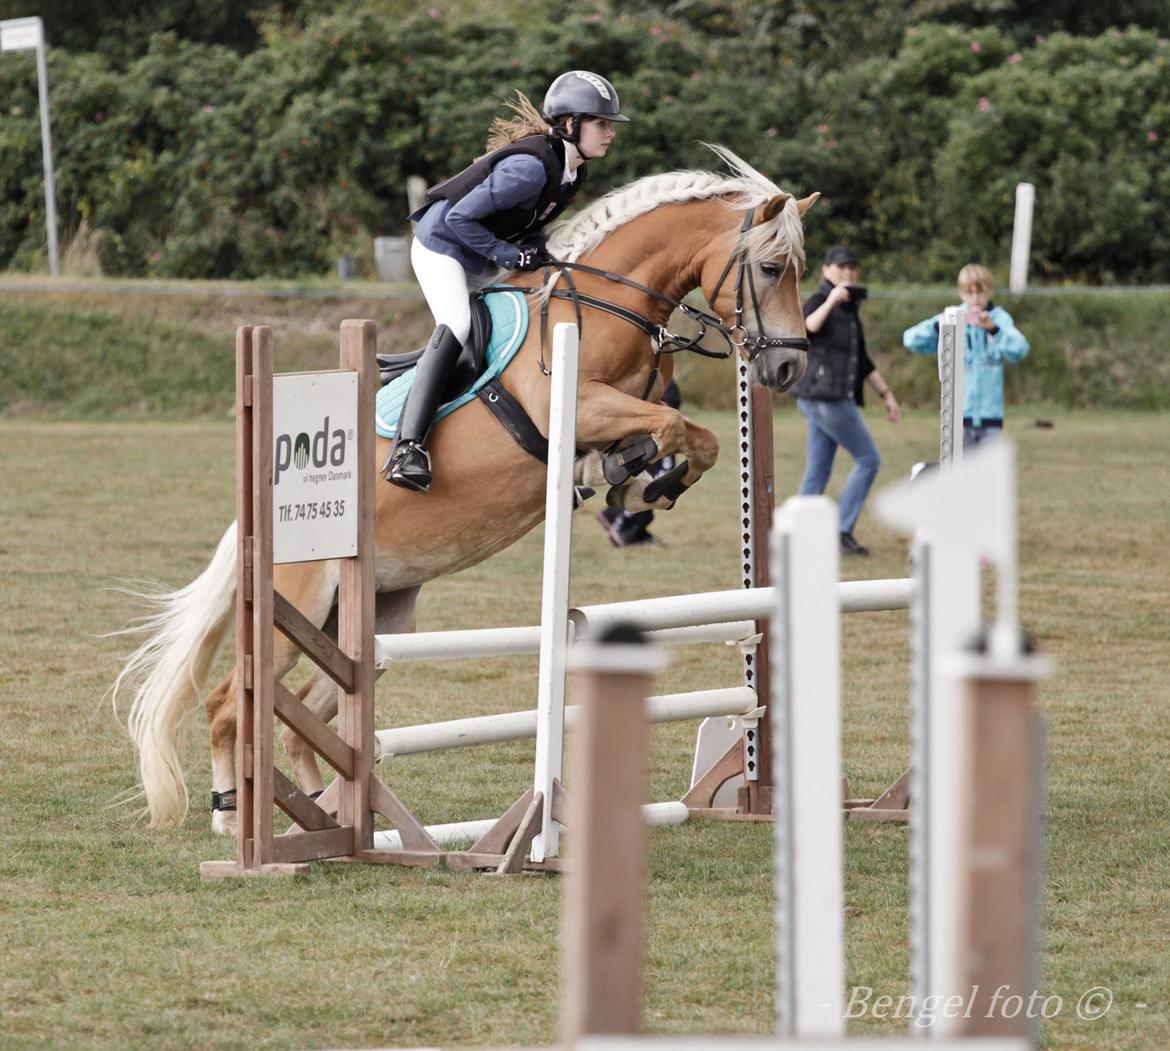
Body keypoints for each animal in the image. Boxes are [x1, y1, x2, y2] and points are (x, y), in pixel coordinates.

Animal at [114, 145, 819, 828]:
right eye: (771, 268)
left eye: (796, 268)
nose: (788, 367)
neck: (607, 301)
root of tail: (253, 525)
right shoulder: (576, 407)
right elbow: (668, 427)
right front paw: (624, 476)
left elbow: (699, 438)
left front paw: (646, 484)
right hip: (300, 607)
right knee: (228, 704)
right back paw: (231, 816)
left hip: (373, 617)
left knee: (309, 713)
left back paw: (322, 813)